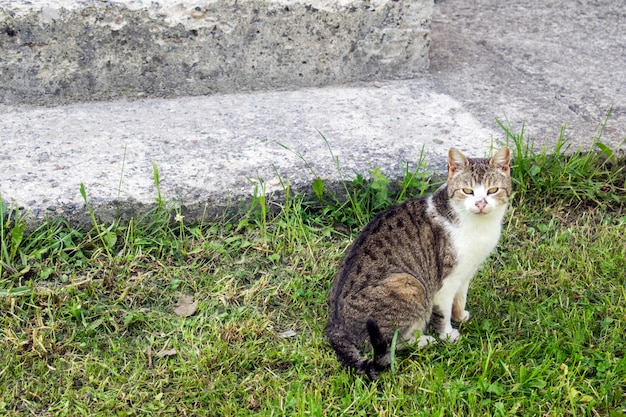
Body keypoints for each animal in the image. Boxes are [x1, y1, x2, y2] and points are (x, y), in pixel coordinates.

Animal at [324, 146, 510, 376]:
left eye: (493, 190)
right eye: (468, 191)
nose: (481, 203)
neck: (479, 227)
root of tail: (335, 326)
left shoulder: (466, 273)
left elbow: (460, 299)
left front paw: (460, 316)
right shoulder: (445, 282)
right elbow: (443, 313)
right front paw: (448, 335)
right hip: (410, 285)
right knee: (390, 345)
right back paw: (423, 341)